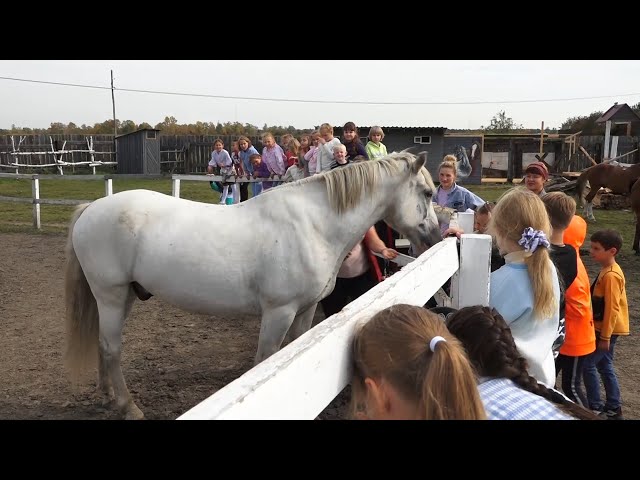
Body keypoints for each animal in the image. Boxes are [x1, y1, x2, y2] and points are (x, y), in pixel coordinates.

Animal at [66, 152, 444, 418]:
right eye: (427, 192)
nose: (437, 238)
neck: (314, 224)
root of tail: (92, 208)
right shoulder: (278, 312)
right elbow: (266, 359)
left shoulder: (305, 310)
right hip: (111, 296)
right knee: (112, 349)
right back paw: (128, 406)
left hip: (124, 296)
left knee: (104, 345)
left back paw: (109, 398)